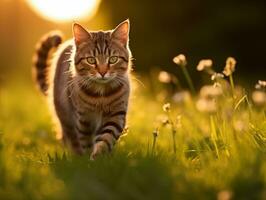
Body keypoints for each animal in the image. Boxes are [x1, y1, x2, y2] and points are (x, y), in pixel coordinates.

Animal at [33, 19, 132, 159]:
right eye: (91, 60)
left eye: (113, 59)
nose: (102, 72)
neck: (101, 95)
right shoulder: (83, 118)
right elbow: (85, 141)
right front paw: (86, 159)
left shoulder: (116, 114)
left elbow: (106, 138)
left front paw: (99, 157)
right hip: (64, 116)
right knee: (70, 138)